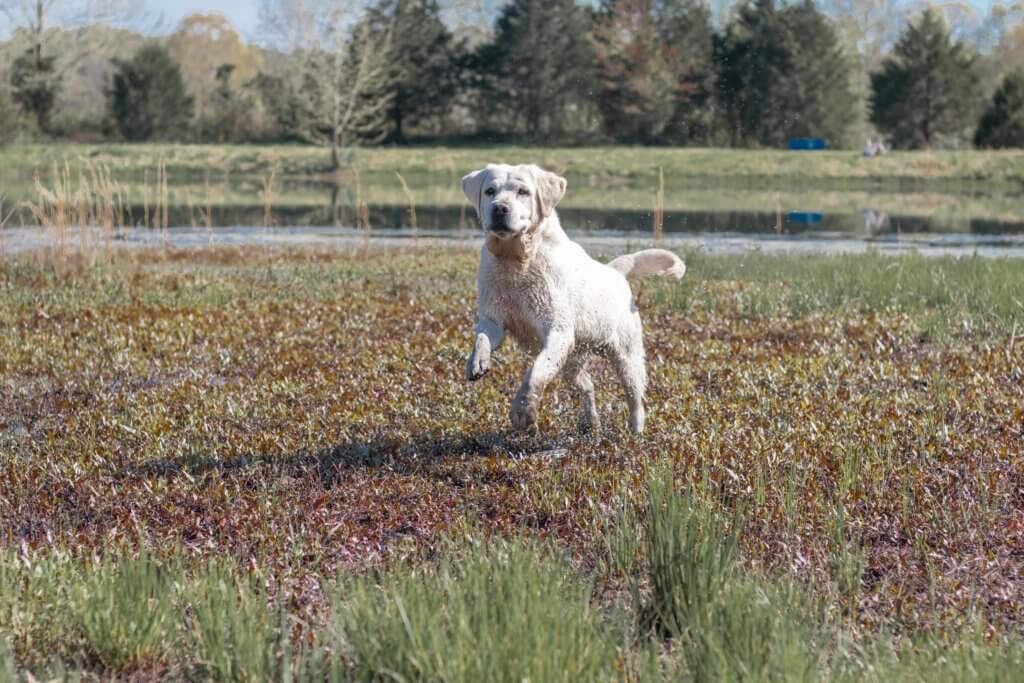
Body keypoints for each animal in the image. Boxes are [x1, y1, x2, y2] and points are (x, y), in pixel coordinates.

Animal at [460, 162, 684, 436]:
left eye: (523, 191)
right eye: (490, 191)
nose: (500, 208)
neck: (516, 261)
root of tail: (614, 271)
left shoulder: (557, 330)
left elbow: (535, 371)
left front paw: (523, 410)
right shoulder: (493, 319)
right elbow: (481, 338)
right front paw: (477, 362)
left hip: (626, 357)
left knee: (635, 398)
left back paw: (635, 432)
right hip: (572, 360)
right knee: (587, 385)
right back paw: (590, 422)